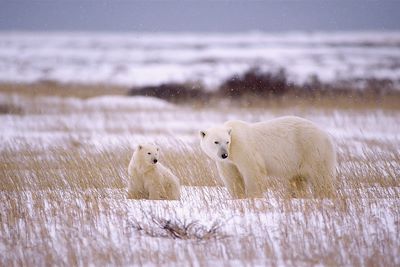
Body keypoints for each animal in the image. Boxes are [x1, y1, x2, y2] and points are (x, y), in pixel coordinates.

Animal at [200, 116, 338, 199]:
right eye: (216, 142)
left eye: (227, 141)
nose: (224, 154)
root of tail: (326, 134)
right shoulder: (227, 162)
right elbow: (232, 177)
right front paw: (238, 197)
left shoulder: (243, 148)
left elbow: (253, 172)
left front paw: (253, 197)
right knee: (297, 180)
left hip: (313, 149)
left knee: (321, 176)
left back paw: (325, 195)